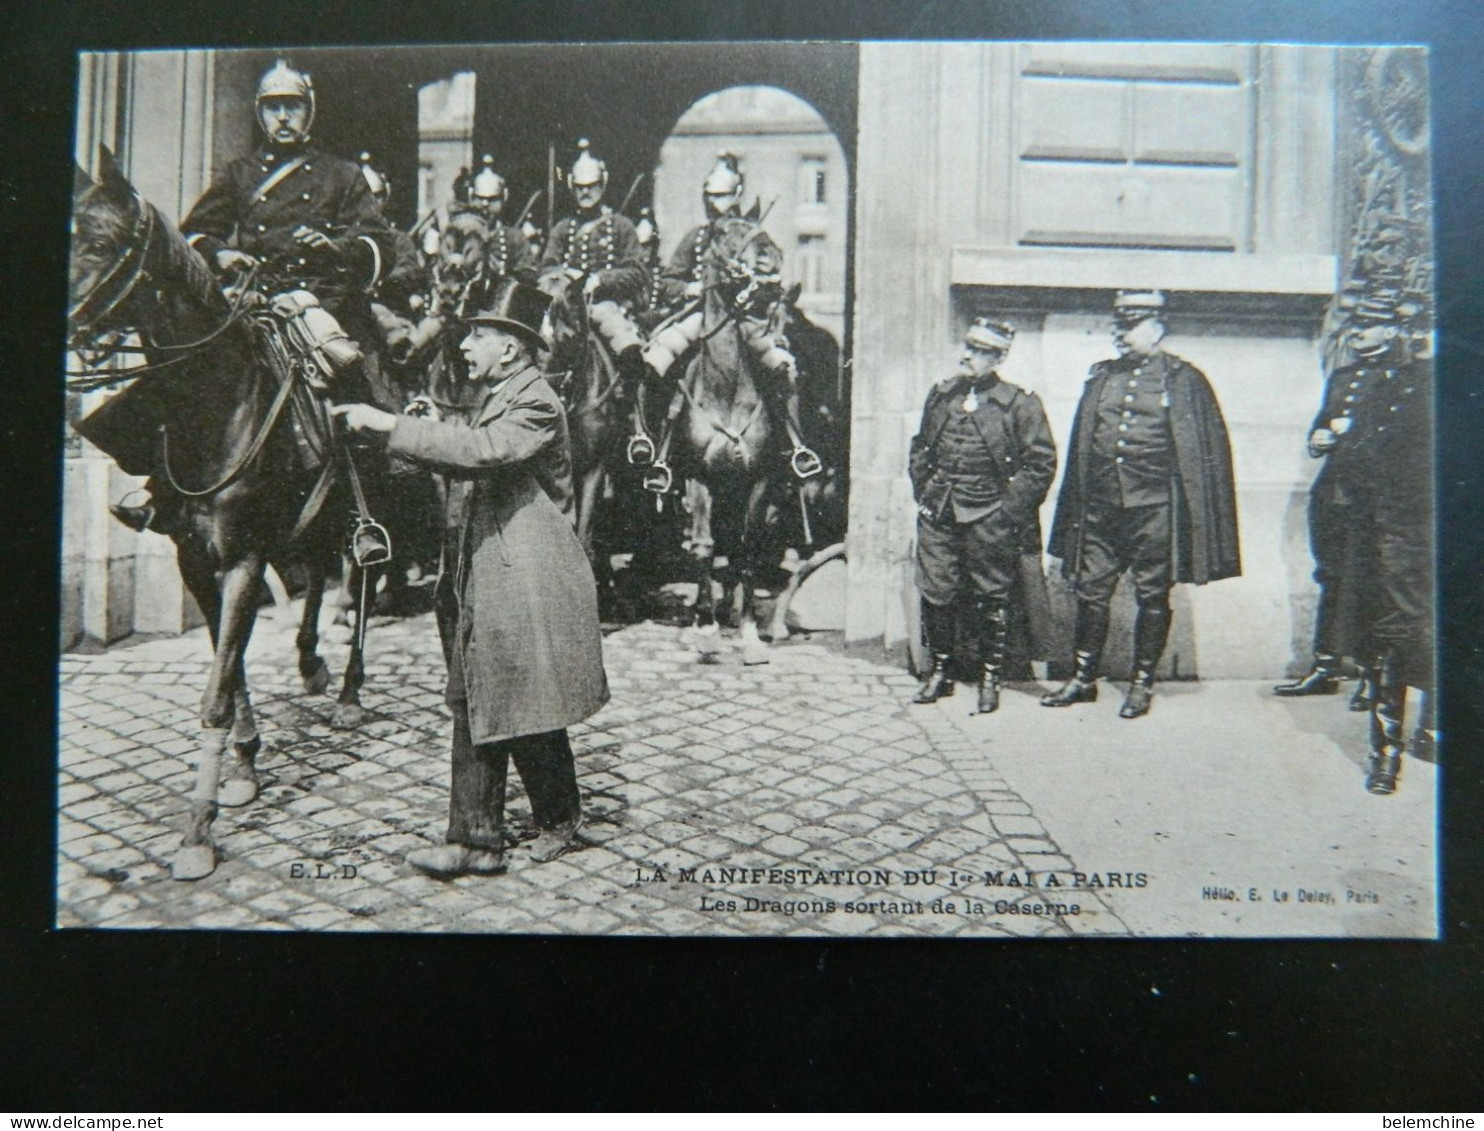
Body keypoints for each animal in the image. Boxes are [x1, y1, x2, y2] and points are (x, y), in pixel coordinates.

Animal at [66, 145, 385, 878]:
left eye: (99, 242)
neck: (214, 406)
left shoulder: (242, 559)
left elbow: (215, 689)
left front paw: (198, 830)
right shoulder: (194, 559)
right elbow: (228, 663)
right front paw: (243, 766)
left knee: (362, 574)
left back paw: (350, 691)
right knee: (319, 575)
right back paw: (311, 663)